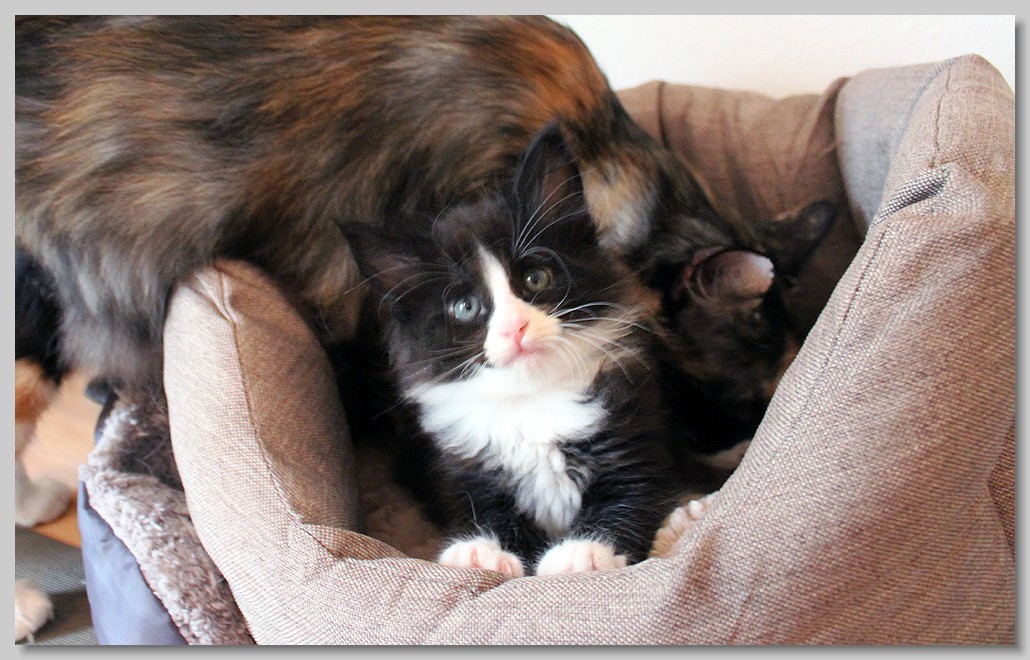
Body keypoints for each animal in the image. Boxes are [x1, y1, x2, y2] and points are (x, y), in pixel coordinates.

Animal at [343, 125, 702, 576]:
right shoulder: (464, 471)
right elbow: (480, 509)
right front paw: (484, 549)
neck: (531, 400)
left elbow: (632, 496)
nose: (515, 327)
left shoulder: (638, 440)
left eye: (536, 278)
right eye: (465, 307)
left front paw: (583, 551)